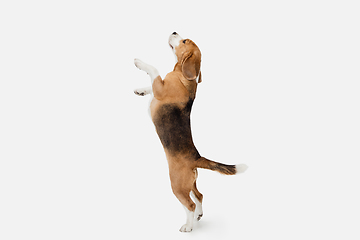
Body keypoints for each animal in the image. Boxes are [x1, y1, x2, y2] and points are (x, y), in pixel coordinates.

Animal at [134, 32, 249, 232]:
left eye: (184, 41)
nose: (174, 31)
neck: (183, 75)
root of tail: (196, 157)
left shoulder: (160, 88)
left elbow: (154, 71)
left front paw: (139, 62)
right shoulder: (157, 87)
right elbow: (151, 85)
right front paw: (141, 90)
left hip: (178, 185)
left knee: (190, 204)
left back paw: (188, 226)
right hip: (191, 182)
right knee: (200, 195)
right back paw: (198, 216)